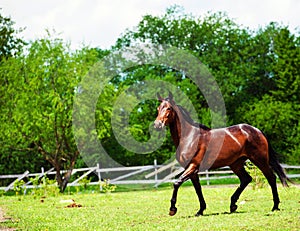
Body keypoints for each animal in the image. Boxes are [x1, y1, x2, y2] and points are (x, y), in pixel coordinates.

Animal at [154, 92, 290, 217]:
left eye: (169, 108)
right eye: (158, 108)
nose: (157, 125)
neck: (189, 138)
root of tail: (257, 130)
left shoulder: (193, 166)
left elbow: (177, 183)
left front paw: (172, 209)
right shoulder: (192, 170)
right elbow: (198, 189)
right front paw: (200, 210)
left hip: (259, 160)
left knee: (271, 178)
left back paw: (275, 206)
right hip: (236, 164)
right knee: (246, 179)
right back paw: (233, 205)